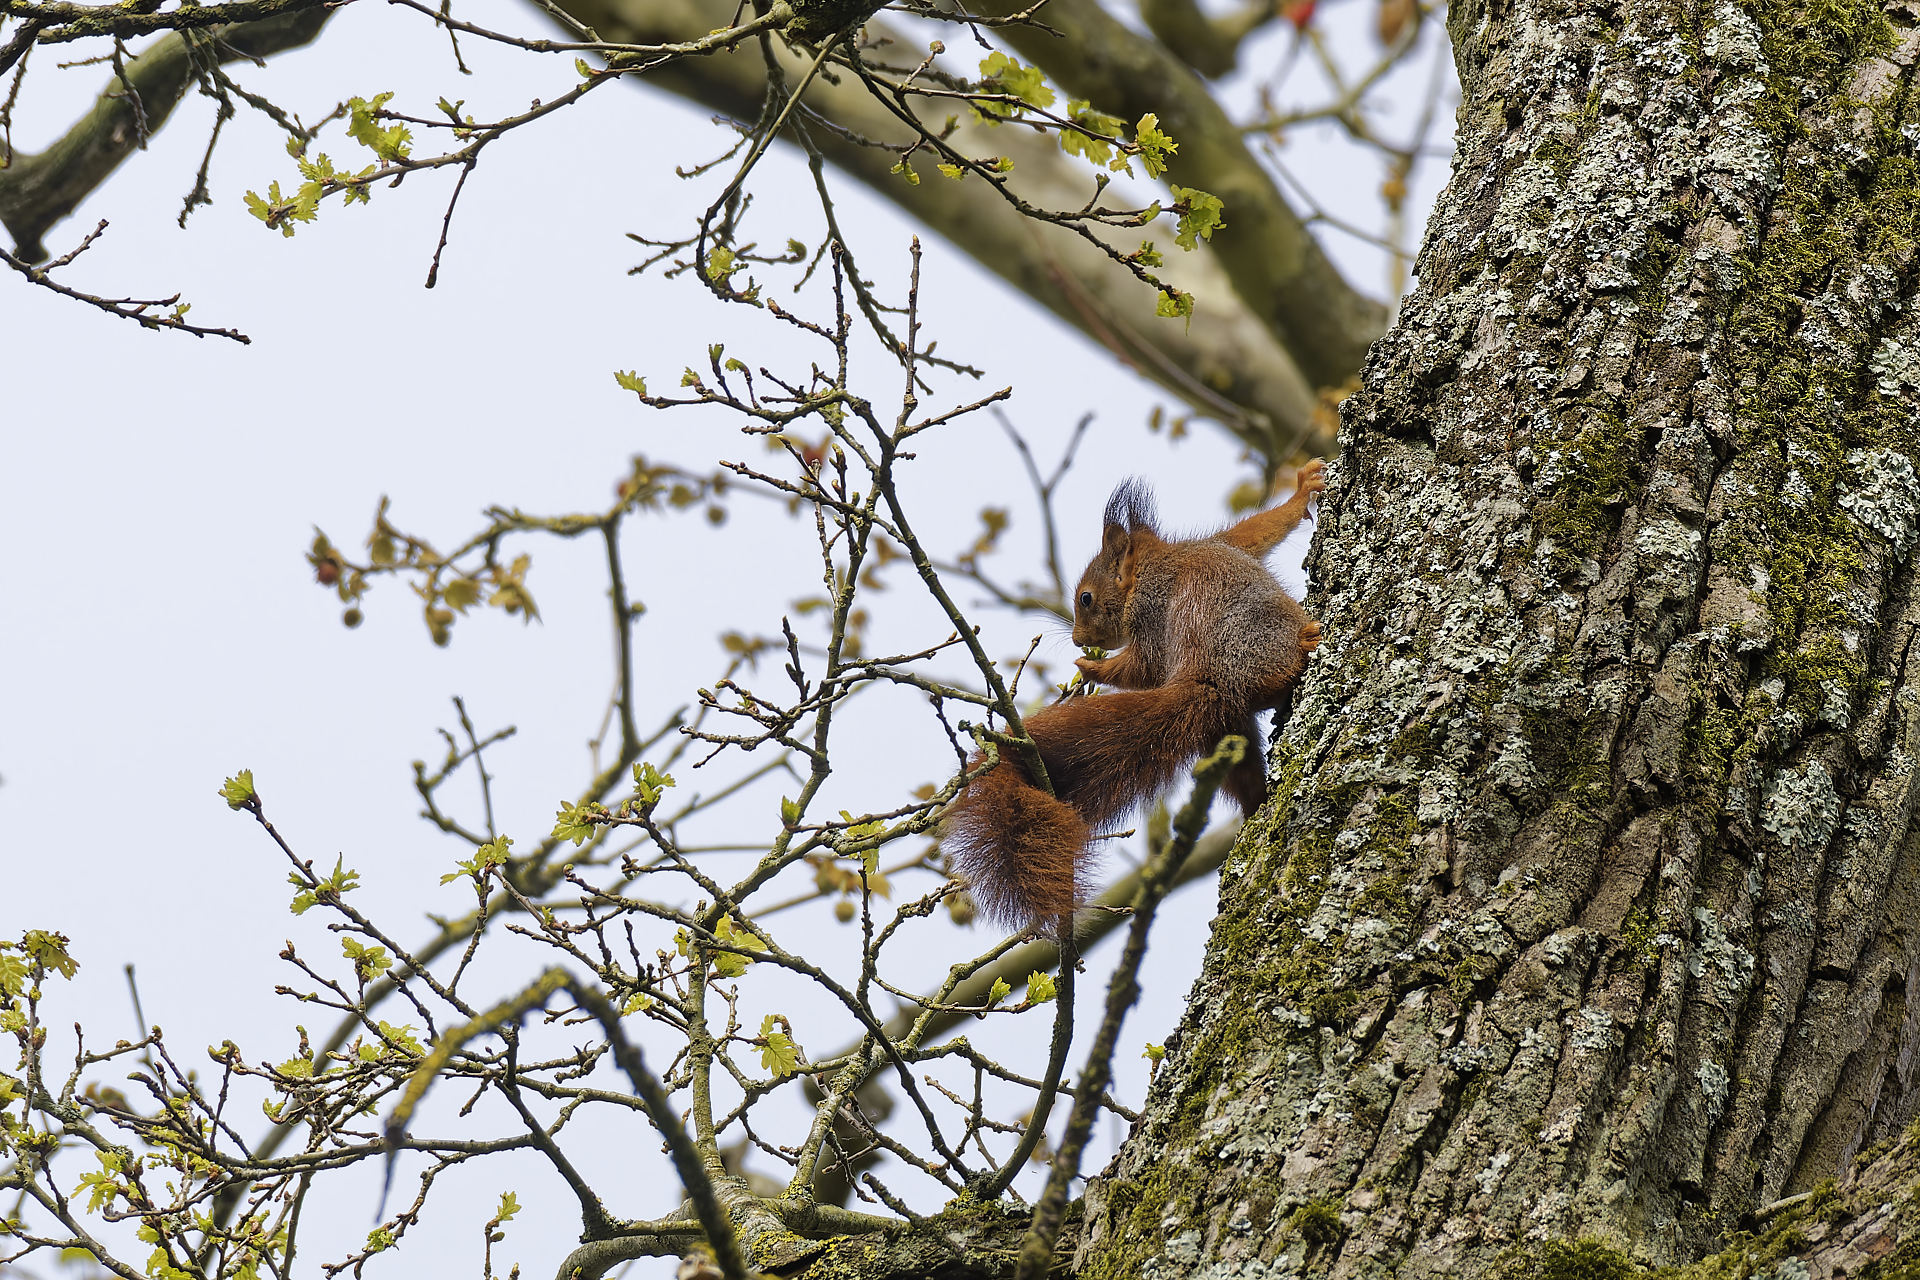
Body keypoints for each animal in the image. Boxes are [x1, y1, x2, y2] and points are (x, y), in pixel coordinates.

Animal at [944, 460, 1327, 929]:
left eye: (1086, 598)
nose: (1077, 640)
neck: (1154, 564)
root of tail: (1209, 682)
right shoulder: (1158, 604)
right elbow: (1144, 667)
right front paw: (1091, 666)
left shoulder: (1200, 563)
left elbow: (1264, 527)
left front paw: (1304, 488)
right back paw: (1307, 642)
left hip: (1227, 729)